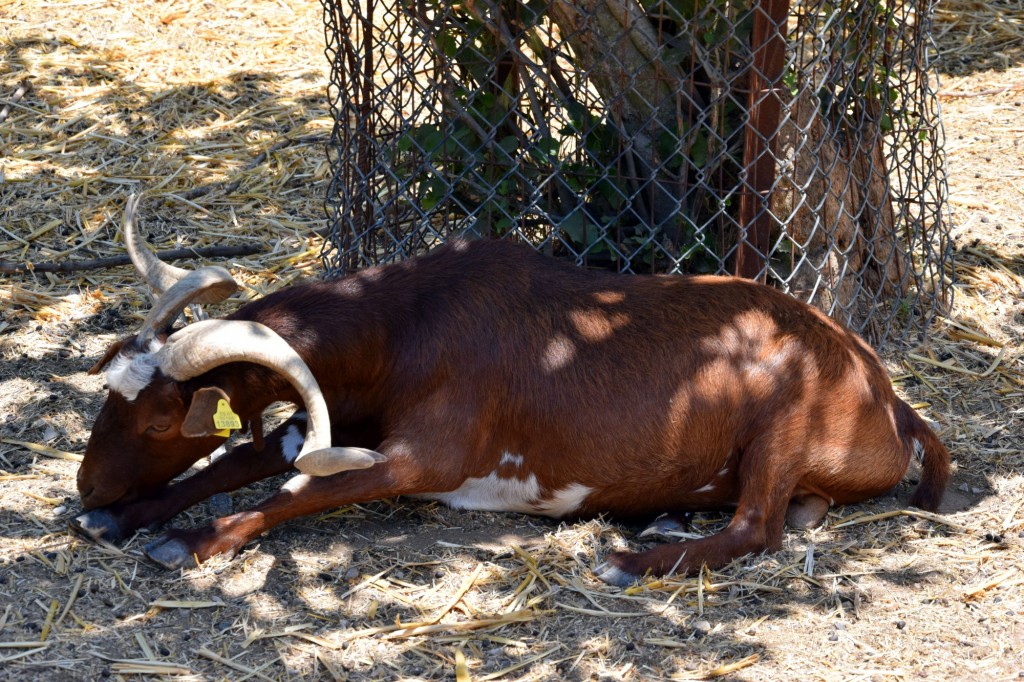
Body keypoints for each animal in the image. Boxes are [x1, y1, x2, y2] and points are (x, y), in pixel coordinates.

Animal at [72, 193, 950, 581]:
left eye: (161, 421)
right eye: (108, 386)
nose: (88, 485)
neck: (404, 330)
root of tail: (890, 400)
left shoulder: (423, 457)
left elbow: (297, 489)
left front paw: (182, 540)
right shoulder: (333, 416)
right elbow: (240, 461)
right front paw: (117, 518)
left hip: (786, 418)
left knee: (760, 528)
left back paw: (634, 560)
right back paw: (664, 521)